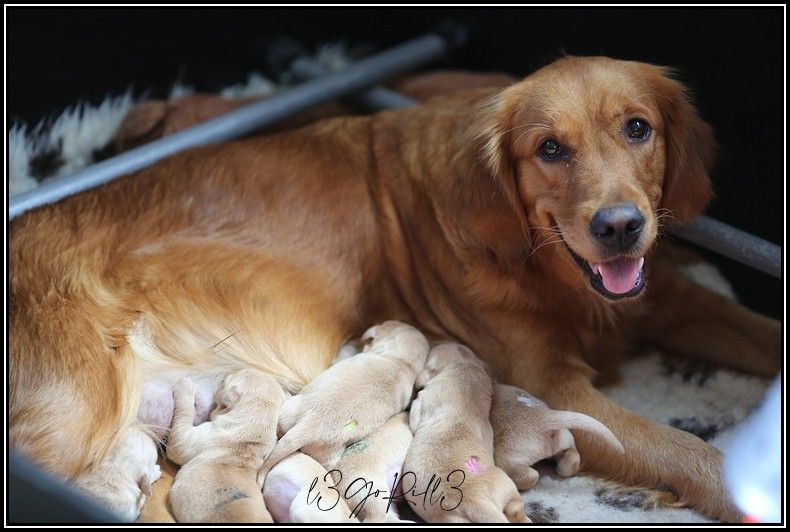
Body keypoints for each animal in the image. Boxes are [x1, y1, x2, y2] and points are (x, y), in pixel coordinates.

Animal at [492, 382, 628, 490]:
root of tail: (542, 417)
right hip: (565, 439)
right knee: (572, 459)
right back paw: (560, 468)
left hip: (509, 458)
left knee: (529, 476)